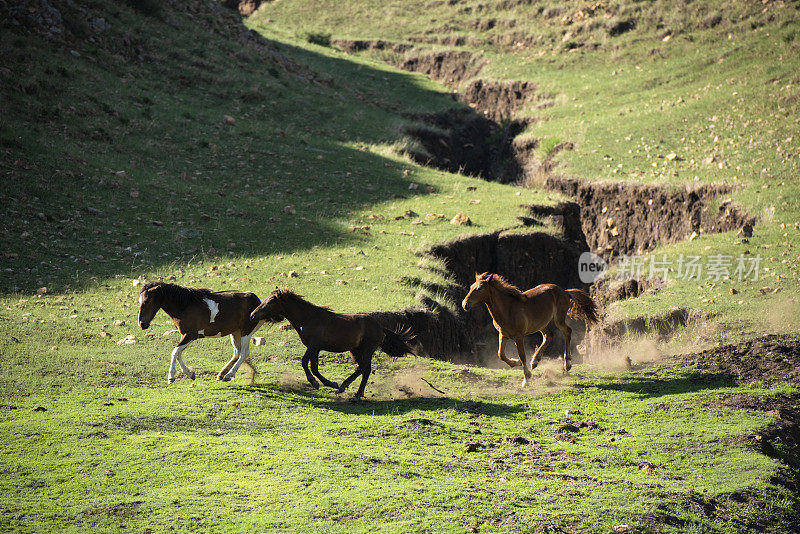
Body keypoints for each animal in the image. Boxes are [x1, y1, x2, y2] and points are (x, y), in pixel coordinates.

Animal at [136, 284, 264, 386]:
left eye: (147, 301)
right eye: (139, 301)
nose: (142, 324)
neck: (184, 306)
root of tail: (257, 301)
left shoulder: (190, 335)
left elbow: (175, 352)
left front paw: (171, 377)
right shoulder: (185, 335)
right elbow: (178, 354)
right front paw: (190, 374)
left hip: (246, 332)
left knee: (244, 353)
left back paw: (228, 375)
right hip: (235, 332)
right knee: (237, 353)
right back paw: (222, 374)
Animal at [250, 292, 416, 400]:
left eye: (270, 302)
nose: (252, 315)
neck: (309, 318)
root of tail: (381, 327)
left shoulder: (313, 346)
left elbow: (304, 363)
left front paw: (317, 383)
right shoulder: (316, 348)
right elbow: (314, 367)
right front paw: (330, 384)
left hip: (367, 350)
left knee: (366, 370)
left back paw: (357, 395)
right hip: (355, 350)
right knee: (360, 368)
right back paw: (343, 387)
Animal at [460, 274, 596, 388]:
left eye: (480, 288)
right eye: (471, 287)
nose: (465, 304)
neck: (507, 309)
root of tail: (565, 292)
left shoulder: (518, 336)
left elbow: (522, 356)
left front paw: (526, 380)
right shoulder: (503, 335)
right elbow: (501, 354)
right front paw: (516, 363)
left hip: (558, 319)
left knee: (567, 331)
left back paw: (567, 365)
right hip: (541, 323)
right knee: (549, 335)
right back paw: (535, 361)